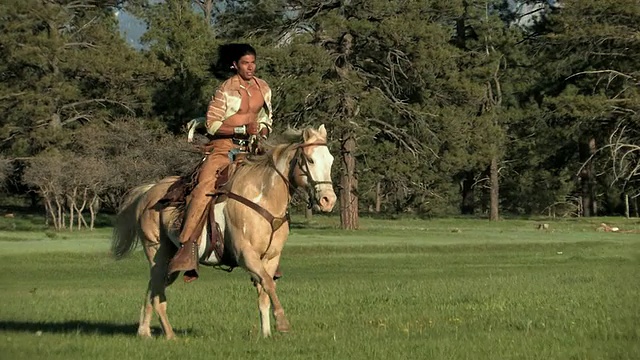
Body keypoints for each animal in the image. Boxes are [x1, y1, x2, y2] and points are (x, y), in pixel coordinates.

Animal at [112, 124, 338, 338]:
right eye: (310, 160)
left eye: (331, 160)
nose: (328, 200)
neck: (264, 197)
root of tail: (148, 192)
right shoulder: (246, 255)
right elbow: (268, 283)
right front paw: (282, 323)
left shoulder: (270, 258)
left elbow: (264, 292)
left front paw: (266, 333)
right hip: (157, 254)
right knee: (157, 292)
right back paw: (167, 335)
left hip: (168, 261)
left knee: (153, 290)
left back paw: (147, 332)